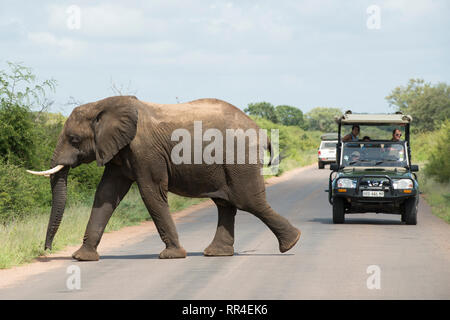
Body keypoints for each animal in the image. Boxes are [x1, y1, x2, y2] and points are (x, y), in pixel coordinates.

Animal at [29, 96, 302, 262]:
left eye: (74, 139)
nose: (46, 250)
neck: (103, 105)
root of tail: (261, 131)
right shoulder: (120, 151)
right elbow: (105, 195)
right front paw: (81, 258)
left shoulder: (145, 151)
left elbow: (151, 193)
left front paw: (171, 256)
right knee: (226, 204)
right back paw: (217, 254)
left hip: (239, 158)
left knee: (248, 201)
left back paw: (292, 244)